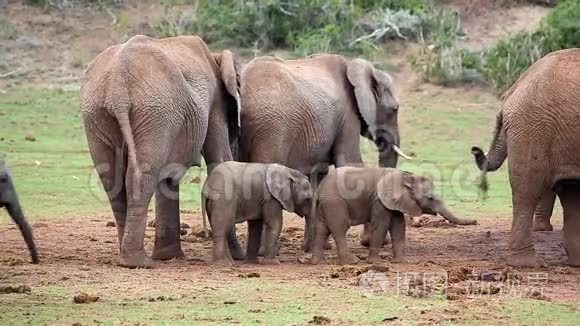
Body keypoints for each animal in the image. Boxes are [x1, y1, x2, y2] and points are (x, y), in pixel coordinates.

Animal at [80, 35, 241, 268]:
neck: (215, 55)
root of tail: (118, 87)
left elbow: (169, 176)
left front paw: (168, 256)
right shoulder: (215, 102)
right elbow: (219, 160)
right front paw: (238, 256)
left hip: (98, 115)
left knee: (111, 178)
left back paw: (126, 258)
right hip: (156, 112)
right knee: (141, 176)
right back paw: (138, 262)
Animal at [238, 54, 406, 251]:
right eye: (394, 109)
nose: (383, 241)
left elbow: (320, 176)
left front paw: (319, 246)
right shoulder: (348, 115)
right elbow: (350, 164)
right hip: (272, 128)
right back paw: (265, 251)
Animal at [310, 168, 478, 264]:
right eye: (430, 198)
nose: (476, 221)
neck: (406, 177)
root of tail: (319, 190)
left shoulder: (395, 202)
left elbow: (398, 226)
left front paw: (402, 262)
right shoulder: (379, 200)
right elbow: (381, 225)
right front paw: (375, 263)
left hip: (323, 205)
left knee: (321, 230)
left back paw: (318, 263)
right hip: (335, 203)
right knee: (339, 229)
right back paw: (352, 262)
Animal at [472, 49, 580, 268]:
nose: (475, 149)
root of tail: (513, 89)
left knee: (571, 194)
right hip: (534, 126)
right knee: (527, 191)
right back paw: (527, 263)